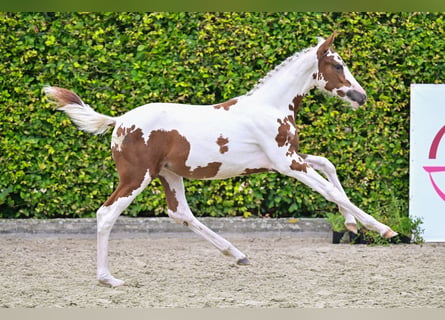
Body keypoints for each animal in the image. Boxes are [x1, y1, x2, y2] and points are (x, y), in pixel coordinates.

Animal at [44, 33, 396, 286]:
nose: (361, 96)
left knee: (180, 213)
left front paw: (351, 224)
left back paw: (236, 254)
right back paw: (108, 279)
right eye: (338, 66)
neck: (269, 106)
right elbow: (329, 189)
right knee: (106, 214)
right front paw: (383, 229)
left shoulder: (287, 157)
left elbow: (328, 166)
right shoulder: (287, 163)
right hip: (137, 177)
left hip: (168, 174)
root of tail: (118, 121)